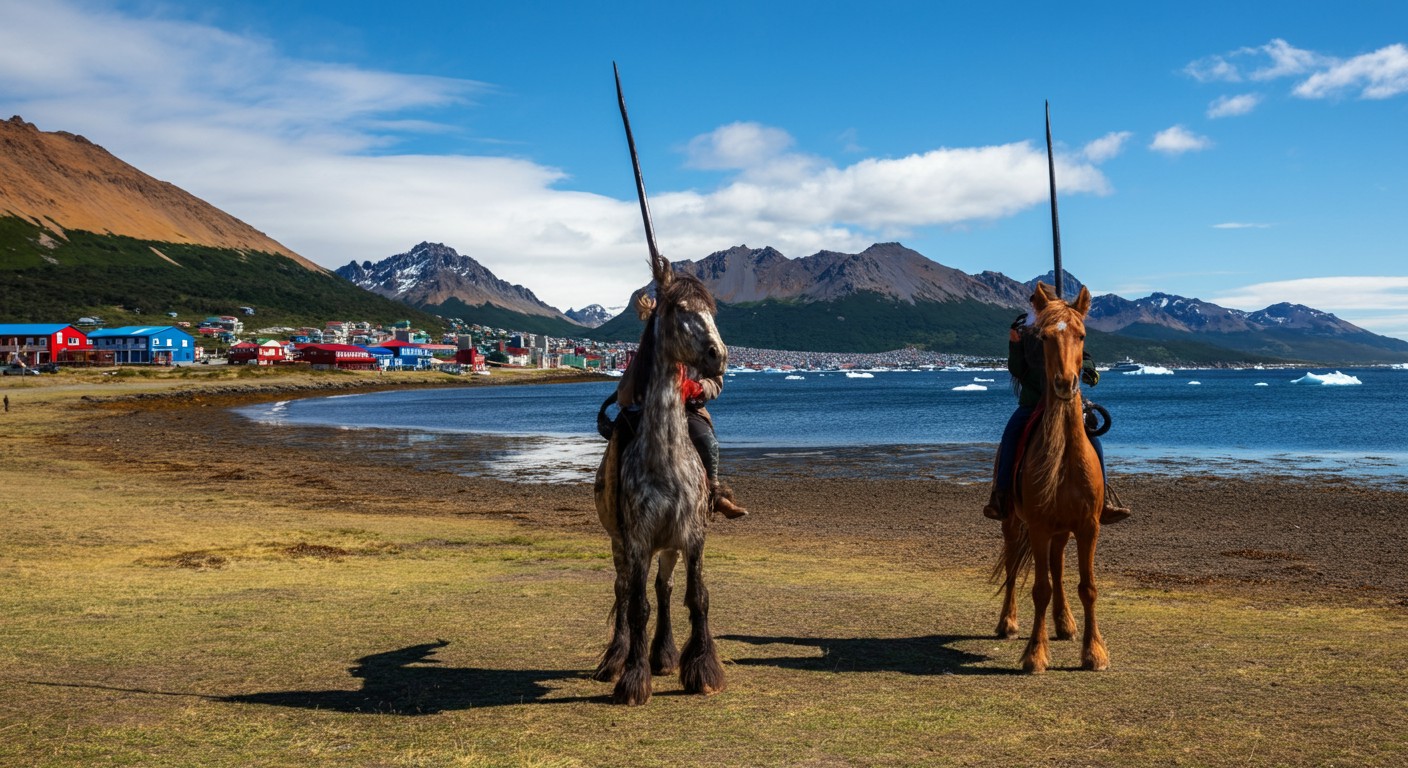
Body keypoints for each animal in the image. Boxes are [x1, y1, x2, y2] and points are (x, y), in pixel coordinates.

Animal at [592, 251, 728, 705]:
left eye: (711, 311)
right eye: (681, 309)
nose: (719, 355)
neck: (665, 461)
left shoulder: (692, 537)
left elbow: (697, 597)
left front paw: (702, 670)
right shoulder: (636, 540)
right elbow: (637, 608)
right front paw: (633, 678)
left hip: (667, 547)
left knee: (663, 589)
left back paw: (665, 655)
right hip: (620, 543)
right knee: (622, 590)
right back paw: (616, 659)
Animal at [992, 281, 1109, 673]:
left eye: (1082, 335)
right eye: (1043, 337)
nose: (1064, 383)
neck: (1064, 461)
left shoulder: (1088, 526)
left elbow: (1087, 587)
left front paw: (1094, 652)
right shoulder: (1040, 525)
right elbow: (1039, 588)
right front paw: (1035, 654)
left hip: (1061, 531)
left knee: (1058, 570)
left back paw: (1065, 623)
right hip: (1014, 524)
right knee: (1014, 566)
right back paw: (1008, 623)